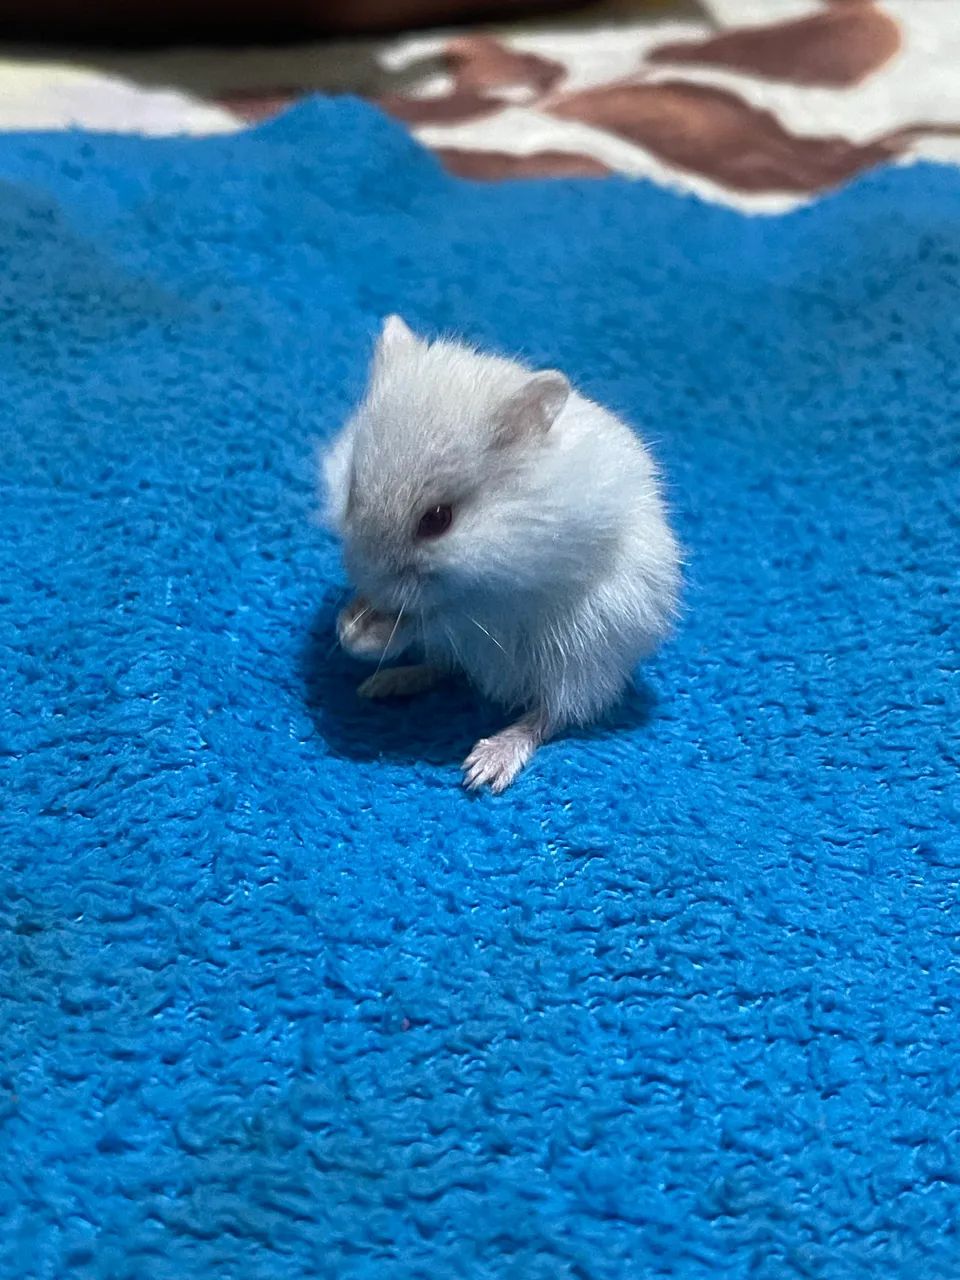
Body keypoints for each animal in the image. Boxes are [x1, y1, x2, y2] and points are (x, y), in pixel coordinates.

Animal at [322, 315, 681, 793]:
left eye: (437, 520)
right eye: (352, 491)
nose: (368, 585)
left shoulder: (490, 603)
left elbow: (433, 615)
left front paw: (360, 635)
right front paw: (351, 622)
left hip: (585, 653)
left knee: (551, 713)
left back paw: (485, 766)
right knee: (446, 666)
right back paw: (382, 684)